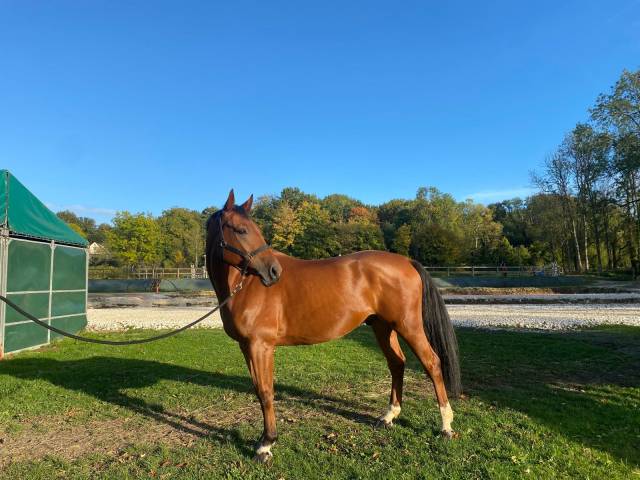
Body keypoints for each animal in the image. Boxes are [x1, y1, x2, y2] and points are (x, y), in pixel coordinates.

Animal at [205, 190, 461, 463]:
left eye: (253, 229)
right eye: (242, 230)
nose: (274, 272)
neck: (243, 286)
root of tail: (407, 261)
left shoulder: (260, 346)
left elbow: (265, 392)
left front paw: (266, 444)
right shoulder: (247, 347)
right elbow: (259, 390)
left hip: (408, 326)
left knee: (432, 363)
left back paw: (446, 425)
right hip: (383, 327)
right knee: (397, 363)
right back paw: (389, 416)